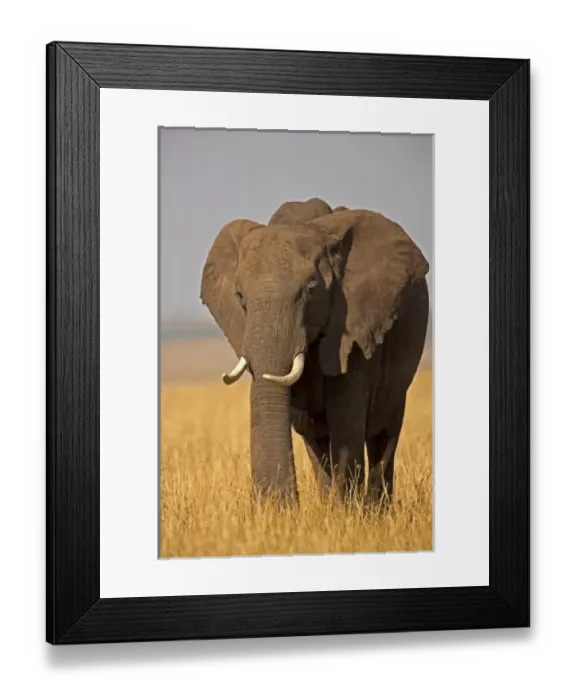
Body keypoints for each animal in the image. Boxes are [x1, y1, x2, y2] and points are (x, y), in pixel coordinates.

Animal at [200, 197, 429, 508]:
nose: (278, 509)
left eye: (310, 289)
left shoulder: (355, 324)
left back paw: (375, 511)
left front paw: (347, 514)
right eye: (239, 295)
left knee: (384, 434)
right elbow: (309, 427)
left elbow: (346, 421)